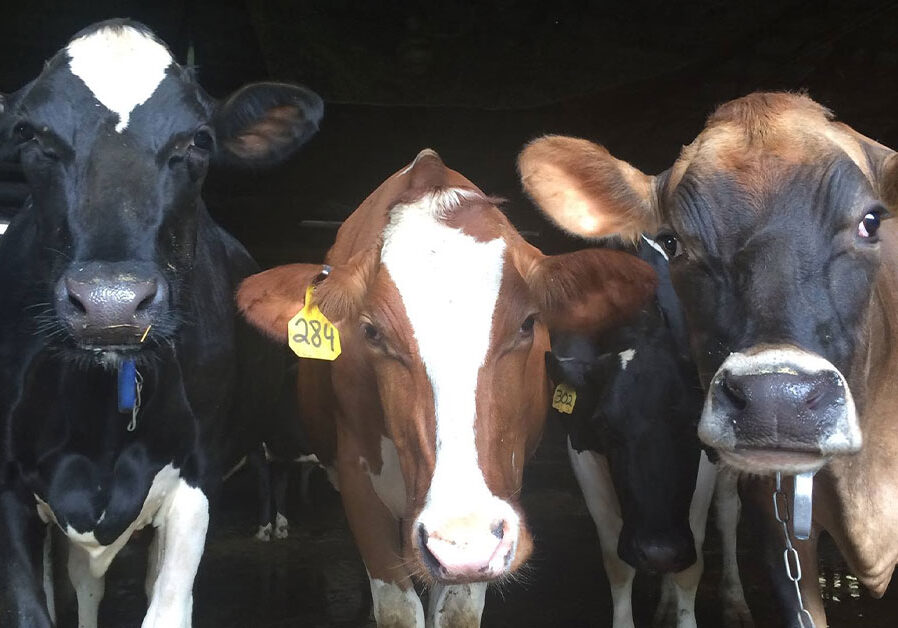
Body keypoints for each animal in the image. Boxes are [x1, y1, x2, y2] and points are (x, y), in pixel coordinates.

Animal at [0, 19, 322, 627]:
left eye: (198, 140)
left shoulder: (196, 478)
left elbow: (167, 608)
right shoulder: (7, 483)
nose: (111, 303)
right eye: (29, 133)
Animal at [236, 147, 657, 626]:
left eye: (529, 323)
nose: (462, 541)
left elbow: (457, 610)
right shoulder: (359, 484)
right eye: (372, 332)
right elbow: (397, 608)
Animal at [545, 237, 751, 628]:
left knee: (729, 510)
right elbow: (616, 562)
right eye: (604, 426)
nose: (658, 551)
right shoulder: (581, 449)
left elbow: (692, 563)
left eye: (691, 426)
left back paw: (734, 600)